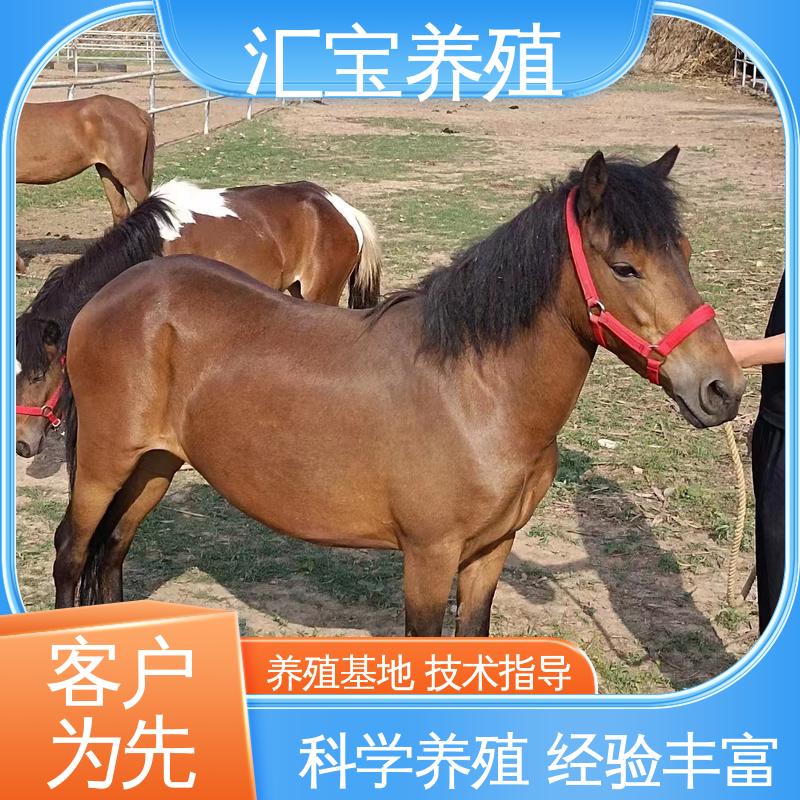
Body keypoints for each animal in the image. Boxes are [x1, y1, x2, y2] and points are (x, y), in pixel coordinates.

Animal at [52, 148, 745, 635]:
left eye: (684, 252)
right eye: (625, 267)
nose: (723, 388)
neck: (476, 393)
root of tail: (112, 295)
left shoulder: (490, 553)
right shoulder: (428, 561)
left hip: (154, 465)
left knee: (111, 555)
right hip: (103, 468)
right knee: (72, 554)